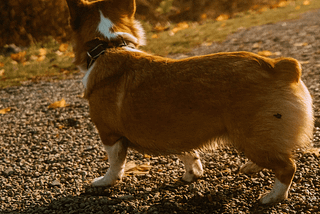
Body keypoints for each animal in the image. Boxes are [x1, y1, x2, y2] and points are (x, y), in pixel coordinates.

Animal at [66, 0, 314, 204]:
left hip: (253, 139)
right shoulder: (176, 134)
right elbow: (189, 154)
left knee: (287, 167)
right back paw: (253, 167)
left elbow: (115, 165)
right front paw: (192, 174)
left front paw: (104, 182)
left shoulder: (109, 135)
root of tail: (280, 67)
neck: (108, 46)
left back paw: (273, 197)